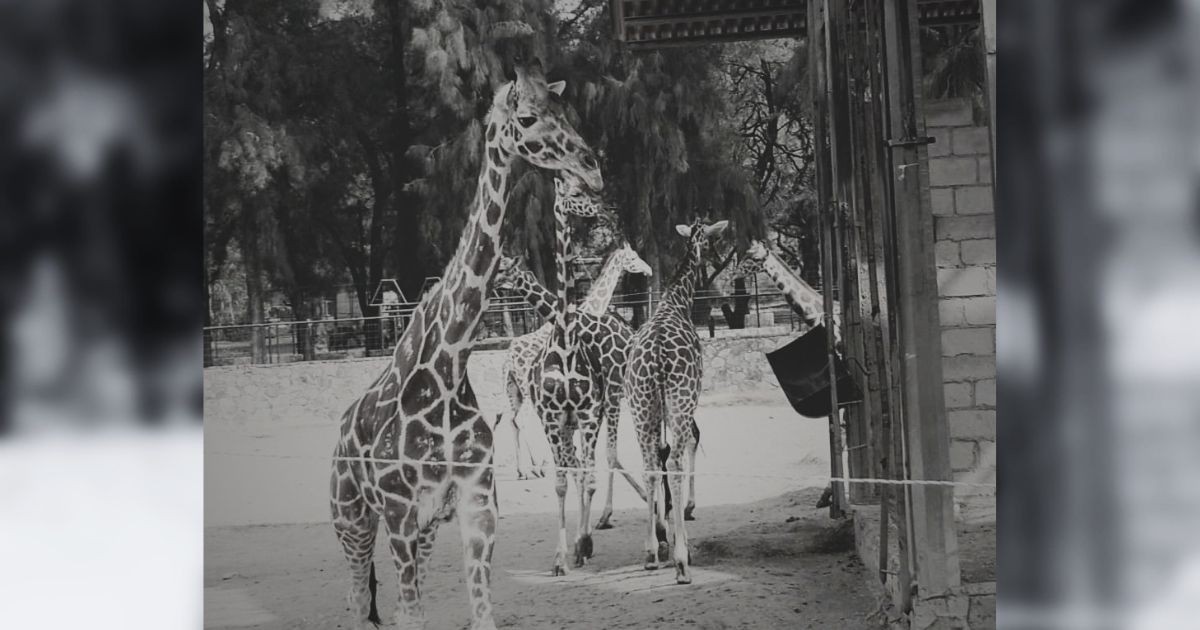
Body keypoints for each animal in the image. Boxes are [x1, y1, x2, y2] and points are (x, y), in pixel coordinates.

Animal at [329, 62, 602, 630]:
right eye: (528, 117)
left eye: (565, 111)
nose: (592, 170)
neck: (450, 360)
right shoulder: (399, 510)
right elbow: (410, 613)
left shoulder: (475, 500)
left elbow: (479, 612)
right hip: (351, 518)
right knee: (358, 599)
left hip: (426, 526)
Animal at [494, 240, 652, 480]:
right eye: (633, 258)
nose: (648, 270)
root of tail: (508, 360)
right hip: (527, 390)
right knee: (522, 420)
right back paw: (537, 467)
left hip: (514, 390)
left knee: (511, 420)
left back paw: (523, 470)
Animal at [624, 218, 729, 584]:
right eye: (714, 240)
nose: (720, 258)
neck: (678, 300)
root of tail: (656, 354)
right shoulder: (690, 399)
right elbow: (692, 444)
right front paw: (686, 513)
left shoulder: (657, 410)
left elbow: (660, 457)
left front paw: (662, 537)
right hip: (679, 400)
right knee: (675, 461)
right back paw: (682, 561)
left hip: (641, 406)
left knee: (650, 464)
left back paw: (650, 554)